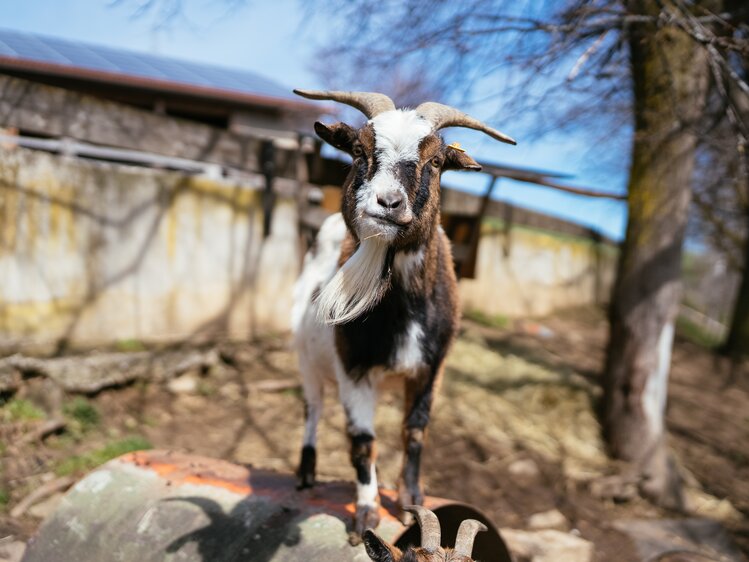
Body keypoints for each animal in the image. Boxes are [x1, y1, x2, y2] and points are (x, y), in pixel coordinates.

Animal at [292, 89, 516, 536]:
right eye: (359, 151)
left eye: (437, 161)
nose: (388, 203)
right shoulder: (354, 369)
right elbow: (363, 441)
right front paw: (366, 514)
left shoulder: (431, 369)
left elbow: (414, 432)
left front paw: (412, 502)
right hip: (307, 359)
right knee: (313, 409)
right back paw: (306, 474)